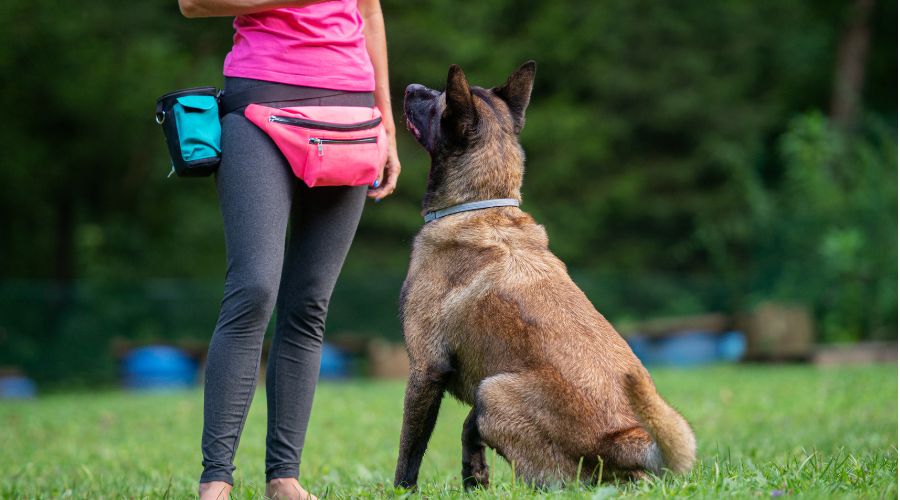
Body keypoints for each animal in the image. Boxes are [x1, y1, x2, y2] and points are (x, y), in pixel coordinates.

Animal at [394, 59, 696, 488]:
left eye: (438, 103)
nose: (411, 87)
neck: (481, 205)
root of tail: (624, 439)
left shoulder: (425, 369)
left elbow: (410, 451)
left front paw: (401, 491)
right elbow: (467, 432)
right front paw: (475, 480)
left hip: (494, 390)